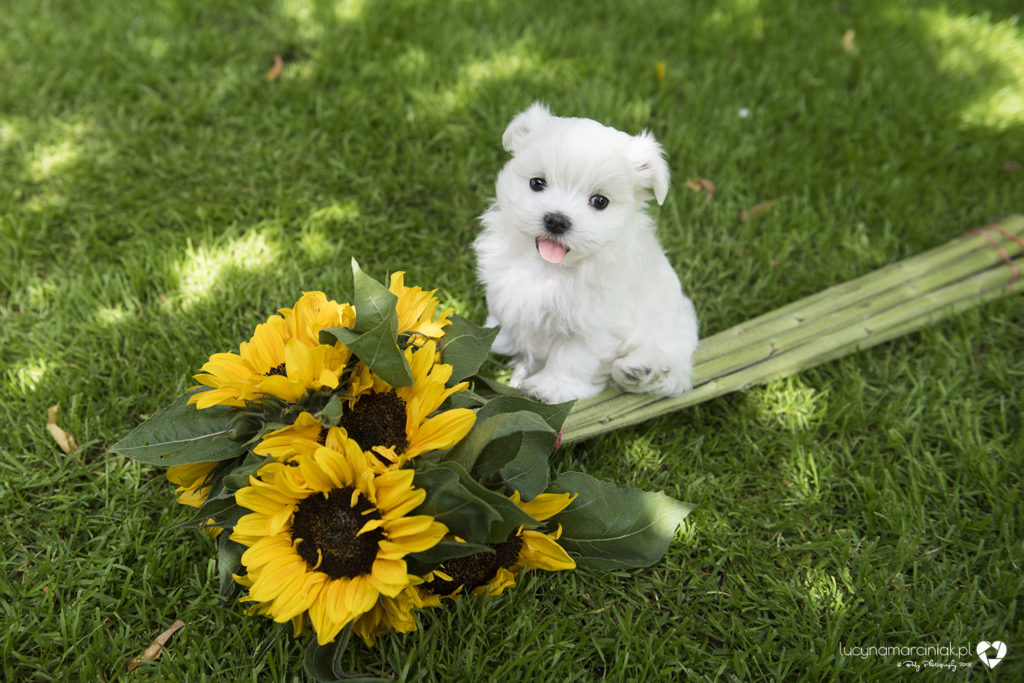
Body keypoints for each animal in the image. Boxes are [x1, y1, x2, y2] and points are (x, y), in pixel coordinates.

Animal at [475, 100, 700, 401]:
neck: (550, 268)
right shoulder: (505, 285)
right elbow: (504, 317)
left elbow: (574, 358)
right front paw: (493, 338)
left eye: (600, 201)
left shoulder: (596, 326)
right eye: (537, 182)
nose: (557, 220)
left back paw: (643, 369)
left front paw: (551, 388)